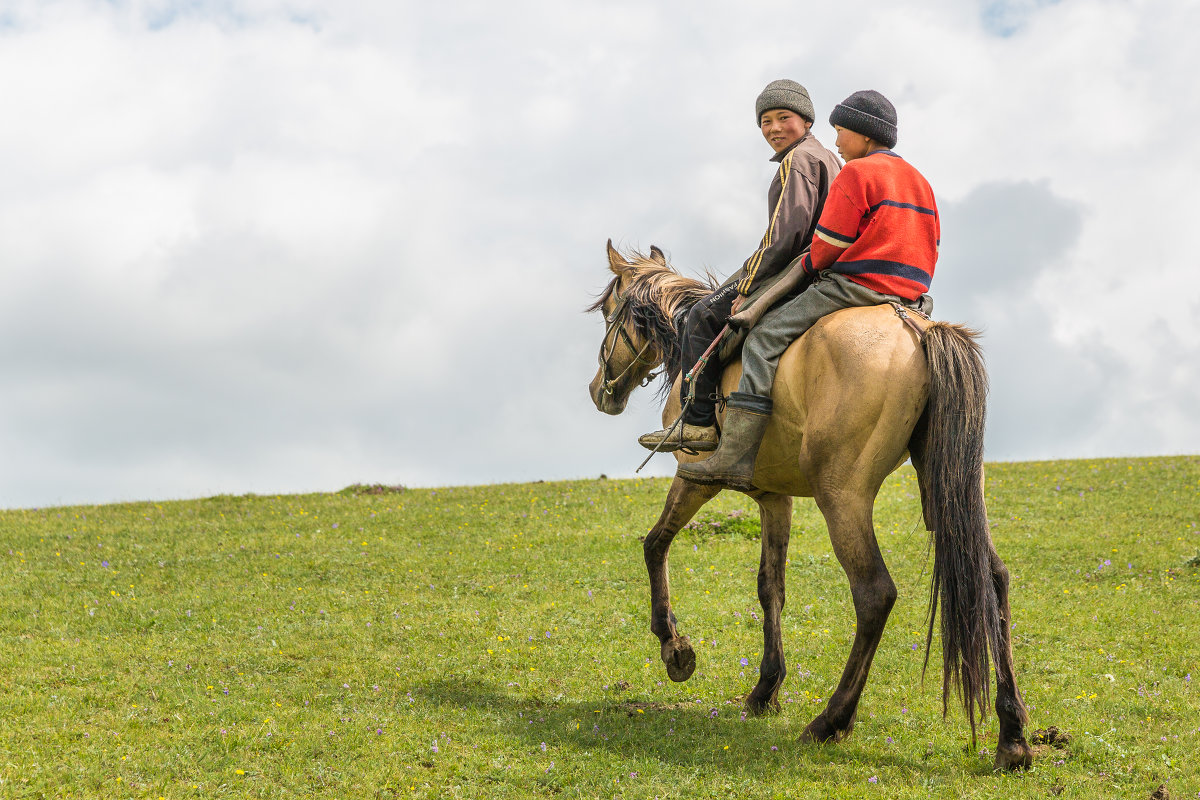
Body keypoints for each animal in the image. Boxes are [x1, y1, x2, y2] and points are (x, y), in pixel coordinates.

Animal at [588, 242, 1032, 767]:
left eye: (608, 313)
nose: (598, 390)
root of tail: (919, 330)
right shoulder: (773, 497)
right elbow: (770, 588)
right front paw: (765, 689)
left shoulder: (695, 475)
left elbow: (655, 544)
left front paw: (674, 647)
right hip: (949, 493)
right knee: (992, 578)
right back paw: (1012, 735)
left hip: (842, 498)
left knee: (875, 594)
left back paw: (831, 720)